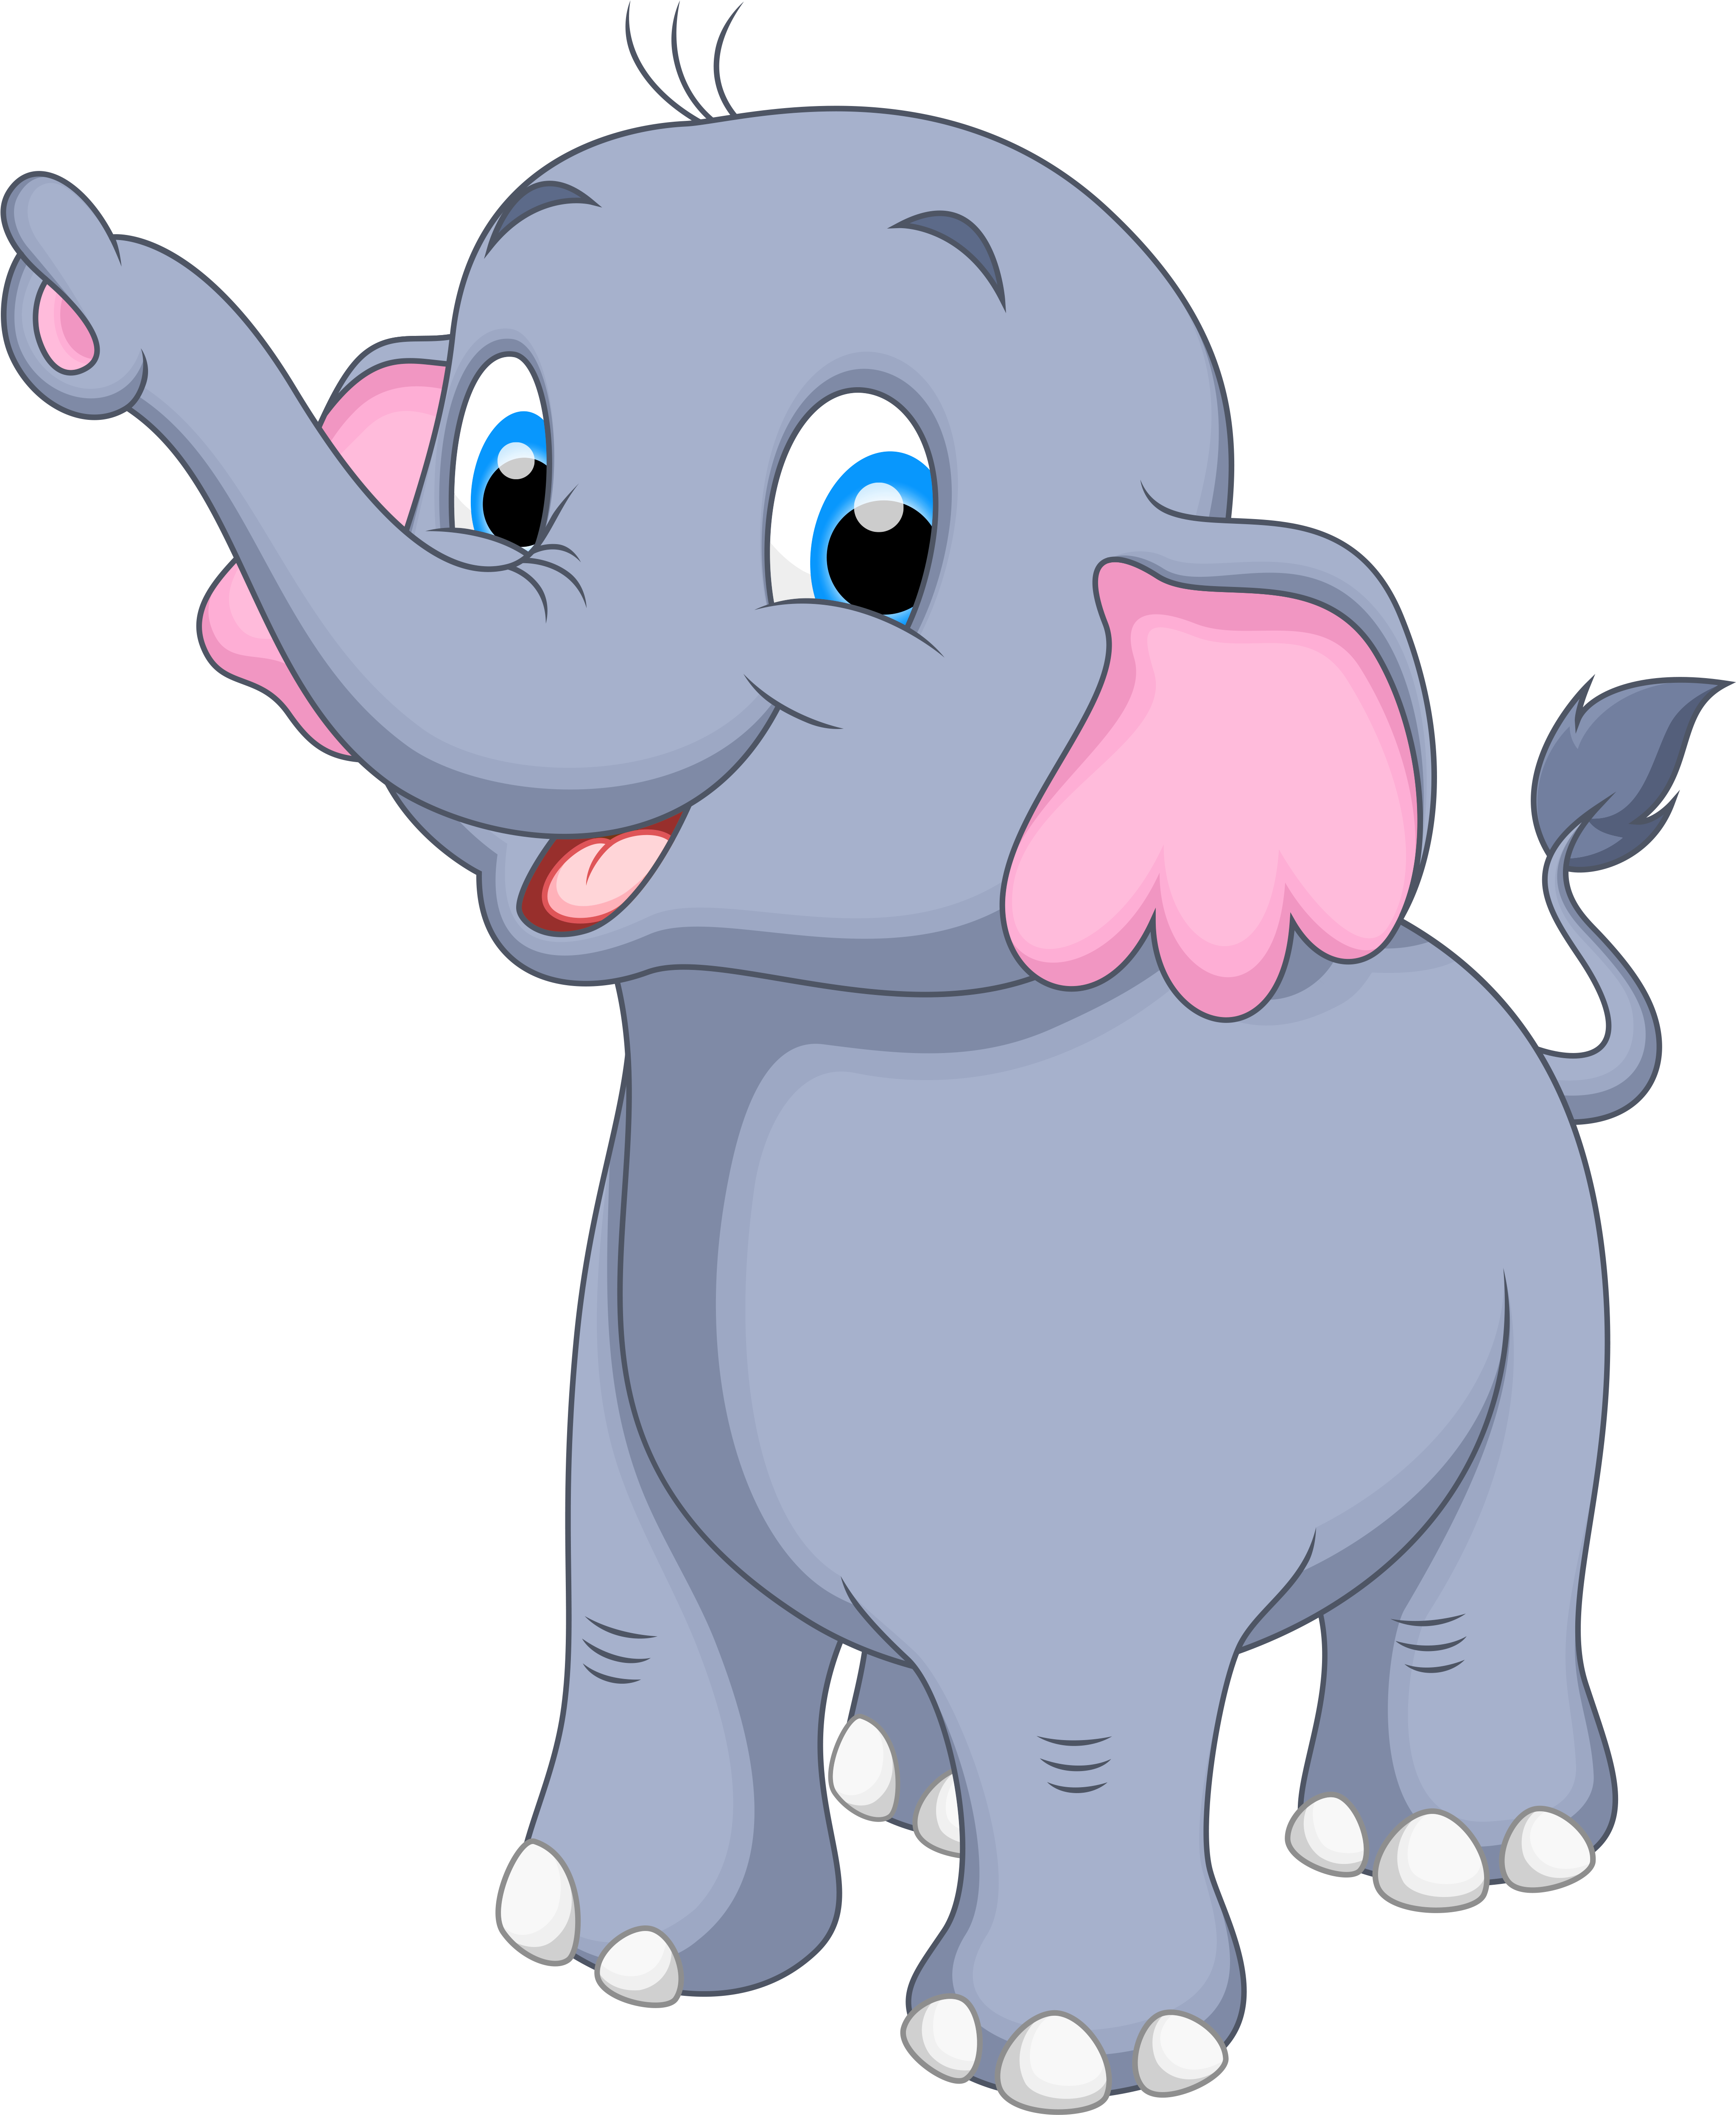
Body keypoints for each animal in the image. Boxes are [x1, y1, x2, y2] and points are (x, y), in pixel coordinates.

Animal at [5, 86, 1722, 2106]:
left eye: (873, 536)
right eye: (502, 467)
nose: (67, 280)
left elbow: (1077, 1704)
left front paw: (1052, 2052)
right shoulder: (625, 1367)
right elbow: (641, 1613)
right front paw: (614, 1948)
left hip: (1548, 1303)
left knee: (1471, 1580)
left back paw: (1451, 1847)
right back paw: (912, 1789)